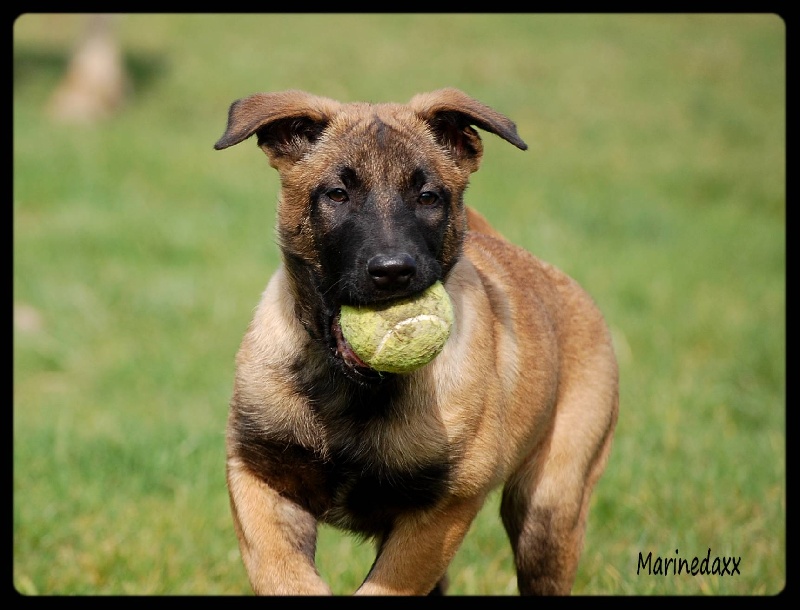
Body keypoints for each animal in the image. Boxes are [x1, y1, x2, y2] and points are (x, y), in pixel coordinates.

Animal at [212, 88, 620, 592]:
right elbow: (286, 577)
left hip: (550, 510)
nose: (392, 271)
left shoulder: (442, 509)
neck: (355, 393)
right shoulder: (259, 474)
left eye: (427, 197)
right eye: (338, 194)